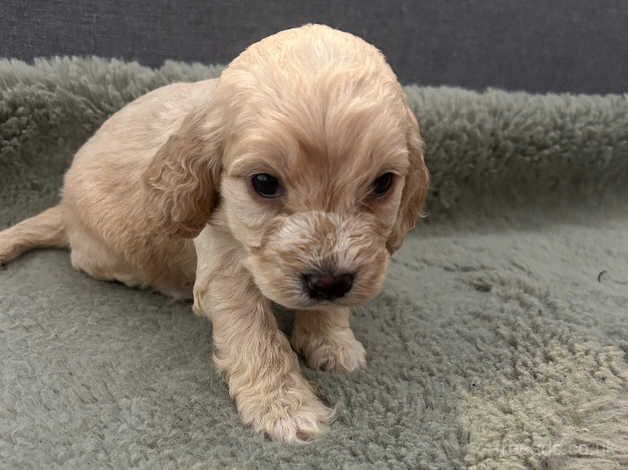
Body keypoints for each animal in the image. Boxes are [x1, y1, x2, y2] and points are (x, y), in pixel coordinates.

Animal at [0, 24, 430, 444]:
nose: (329, 283)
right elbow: (254, 334)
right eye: (263, 183)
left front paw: (332, 342)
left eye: (382, 184)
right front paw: (283, 407)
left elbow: (333, 303)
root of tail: (64, 207)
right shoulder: (222, 261)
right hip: (104, 250)